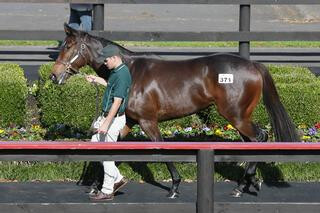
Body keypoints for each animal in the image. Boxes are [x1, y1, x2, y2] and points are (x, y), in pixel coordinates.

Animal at [50, 24, 300, 199]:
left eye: (69, 46)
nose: (54, 76)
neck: (130, 71)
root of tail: (254, 65)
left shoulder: (148, 122)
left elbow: (163, 150)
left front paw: (174, 187)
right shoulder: (130, 120)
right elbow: (111, 149)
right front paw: (97, 185)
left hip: (236, 116)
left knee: (260, 138)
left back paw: (244, 184)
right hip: (239, 117)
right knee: (252, 143)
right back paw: (246, 183)